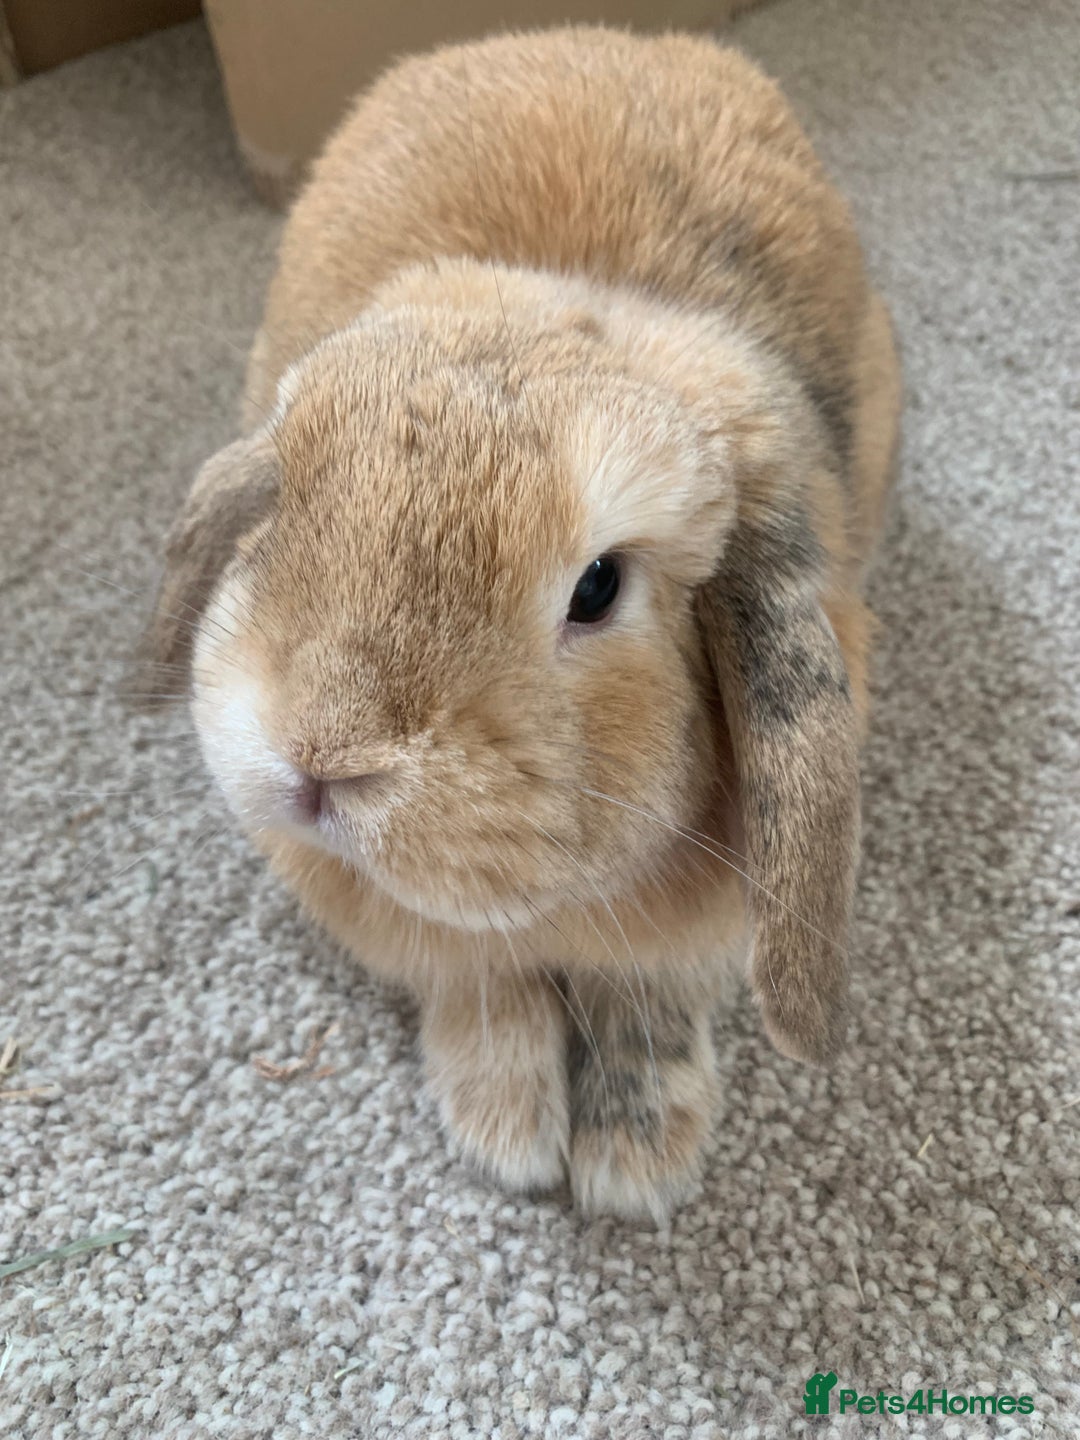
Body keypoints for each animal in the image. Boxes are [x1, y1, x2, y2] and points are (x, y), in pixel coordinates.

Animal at [139, 26, 901, 1221]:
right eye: (286, 504)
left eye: (597, 588)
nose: (320, 758)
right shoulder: (448, 955)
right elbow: (478, 986)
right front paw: (504, 1127)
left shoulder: (683, 952)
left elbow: (649, 1004)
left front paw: (637, 1159)